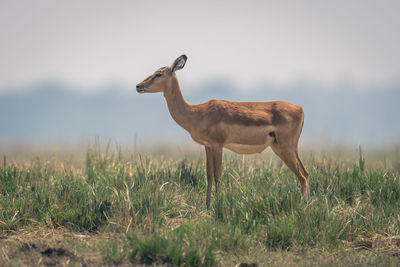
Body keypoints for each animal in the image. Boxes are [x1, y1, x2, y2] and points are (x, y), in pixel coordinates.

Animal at [138, 55, 310, 209]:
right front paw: (207, 206)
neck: (196, 113)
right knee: (305, 172)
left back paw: (305, 205)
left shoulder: (218, 145)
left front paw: (218, 204)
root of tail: (299, 108)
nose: (138, 86)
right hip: (281, 148)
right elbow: (208, 175)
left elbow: (217, 174)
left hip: (286, 148)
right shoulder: (207, 146)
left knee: (302, 175)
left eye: (159, 74)